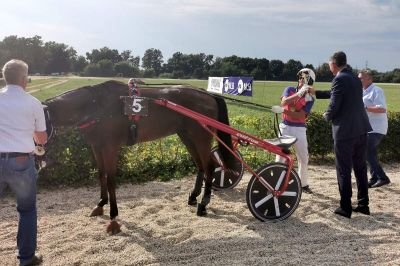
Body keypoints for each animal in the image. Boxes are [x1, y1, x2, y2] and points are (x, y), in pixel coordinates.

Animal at [43, 80, 238, 234]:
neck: (97, 106)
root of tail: (208, 95)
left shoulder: (110, 148)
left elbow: (111, 179)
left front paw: (114, 217)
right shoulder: (97, 147)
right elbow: (101, 174)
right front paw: (100, 204)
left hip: (201, 136)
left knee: (209, 166)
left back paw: (204, 203)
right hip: (187, 136)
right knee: (200, 165)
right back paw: (193, 197)